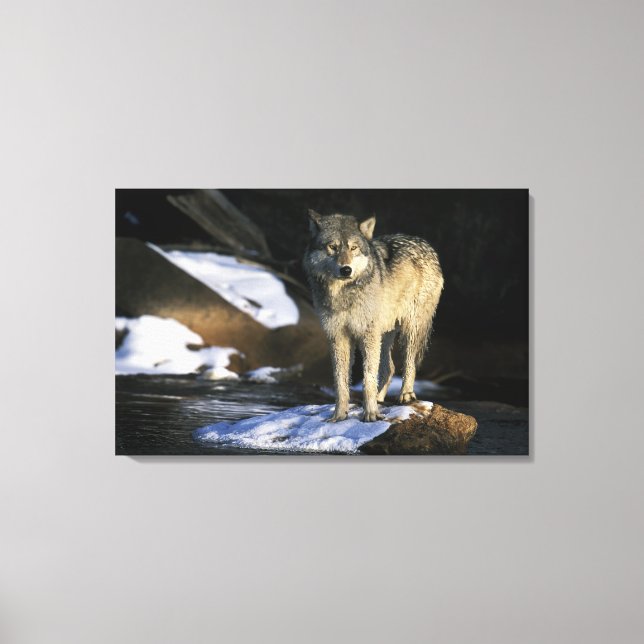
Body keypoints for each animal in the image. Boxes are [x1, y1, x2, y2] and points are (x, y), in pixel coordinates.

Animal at [303, 210, 444, 422]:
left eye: (353, 248)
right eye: (332, 247)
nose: (346, 269)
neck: (343, 295)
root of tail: (425, 243)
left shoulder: (367, 334)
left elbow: (368, 378)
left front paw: (370, 413)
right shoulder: (338, 336)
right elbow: (341, 382)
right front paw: (339, 415)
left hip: (409, 330)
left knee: (409, 364)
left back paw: (405, 395)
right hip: (384, 334)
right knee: (389, 368)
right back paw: (379, 399)